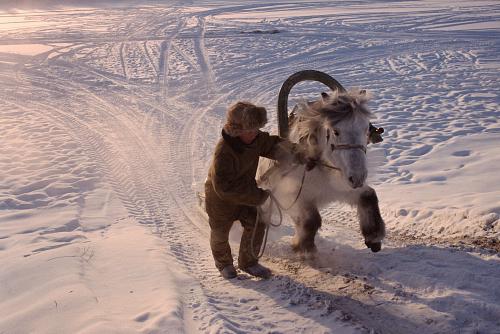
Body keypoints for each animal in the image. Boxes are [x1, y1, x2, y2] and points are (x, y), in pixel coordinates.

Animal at [258, 88, 386, 253]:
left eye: (366, 130)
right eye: (336, 131)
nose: (358, 177)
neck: (320, 168)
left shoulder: (341, 187)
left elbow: (368, 195)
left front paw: (374, 237)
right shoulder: (296, 195)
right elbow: (311, 220)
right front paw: (305, 248)